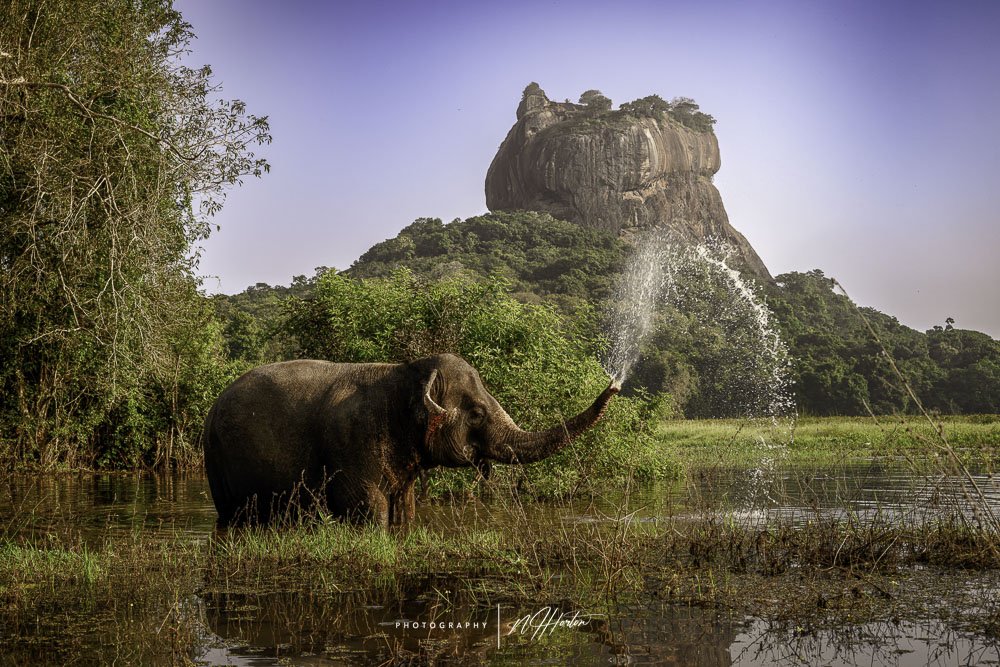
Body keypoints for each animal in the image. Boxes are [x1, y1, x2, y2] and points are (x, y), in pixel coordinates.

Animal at [203, 353, 620, 527]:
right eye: (477, 413)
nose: (615, 383)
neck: (405, 372)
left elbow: (404, 506)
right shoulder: (352, 443)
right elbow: (368, 509)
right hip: (218, 461)